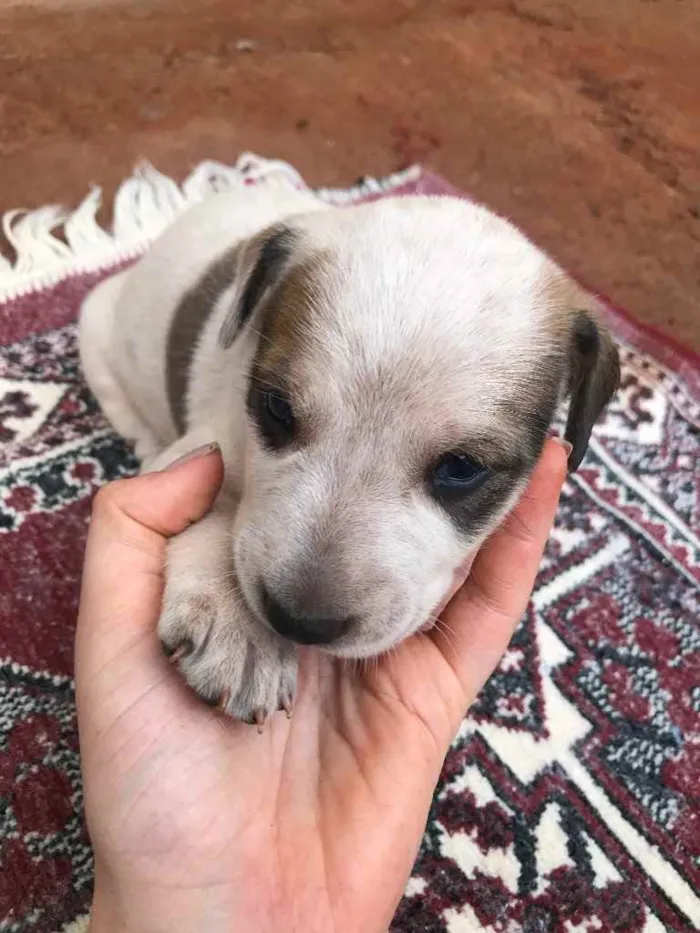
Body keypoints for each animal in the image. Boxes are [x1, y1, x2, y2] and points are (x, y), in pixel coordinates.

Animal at [79, 182, 620, 720]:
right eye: (277, 409)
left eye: (461, 468)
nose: (297, 622)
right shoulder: (202, 448)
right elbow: (212, 500)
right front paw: (239, 624)